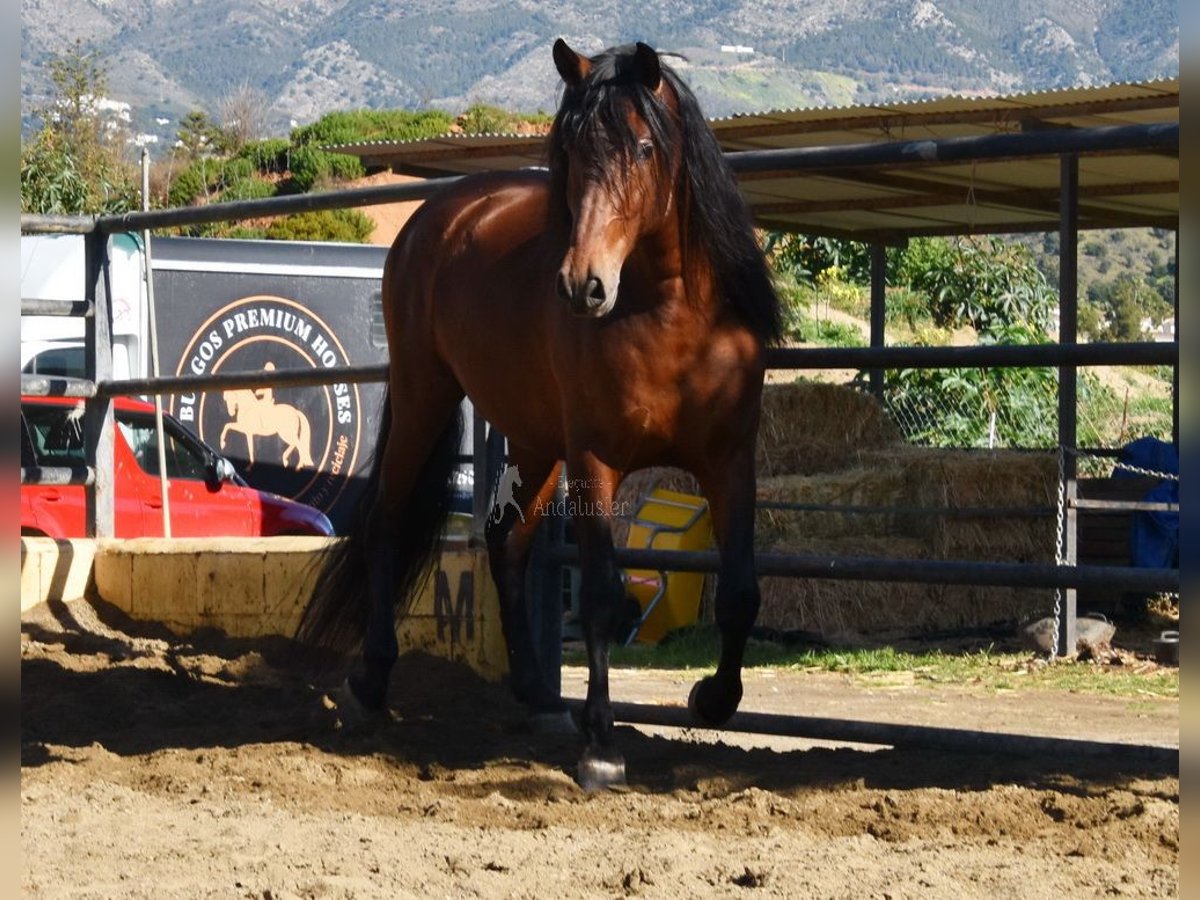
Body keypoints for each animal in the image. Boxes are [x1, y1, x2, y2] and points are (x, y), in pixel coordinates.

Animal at [296, 38, 782, 792]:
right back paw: (372, 683)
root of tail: (440, 212)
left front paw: (713, 699)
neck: (671, 315)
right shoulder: (597, 461)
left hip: (532, 438)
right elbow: (604, 597)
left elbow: (738, 594)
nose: (582, 285)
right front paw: (603, 747)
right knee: (386, 522)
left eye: (645, 149)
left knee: (507, 542)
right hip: (426, 397)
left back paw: (536, 695)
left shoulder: (729, 461)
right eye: (573, 152)